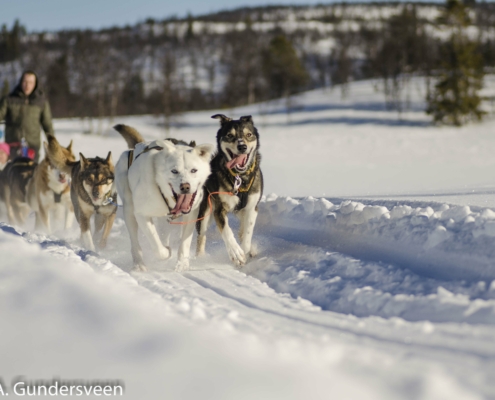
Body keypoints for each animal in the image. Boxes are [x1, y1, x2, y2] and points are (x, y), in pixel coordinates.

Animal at [114, 122, 215, 272]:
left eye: (194, 170)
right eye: (174, 171)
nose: (185, 187)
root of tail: (137, 146)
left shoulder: (191, 213)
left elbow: (184, 243)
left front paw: (182, 264)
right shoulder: (141, 214)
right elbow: (157, 245)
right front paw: (166, 252)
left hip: (165, 218)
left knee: (164, 232)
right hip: (129, 210)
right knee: (135, 242)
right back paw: (139, 264)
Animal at [196, 114, 264, 266]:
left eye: (248, 134)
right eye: (229, 135)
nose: (242, 146)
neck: (240, 177)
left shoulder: (252, 208)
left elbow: (247, 232)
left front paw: (245, 249)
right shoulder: (219, 209)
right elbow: (227, 230)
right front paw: (236, 253)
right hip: (205, 211)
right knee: (201, 236)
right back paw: (200, 258)